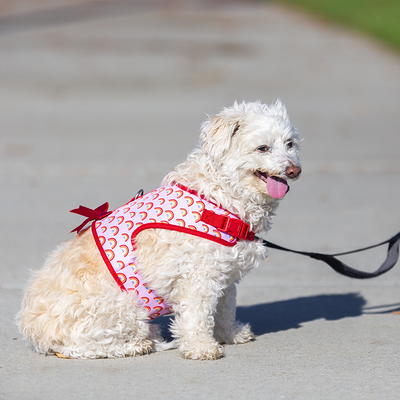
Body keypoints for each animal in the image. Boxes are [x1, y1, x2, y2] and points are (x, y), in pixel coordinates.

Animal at [17, 100, 302, 360]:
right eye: (262, 148)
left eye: (290, 144)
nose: (294, 170)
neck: (219, 197)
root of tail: (32, 330)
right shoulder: (198, 278)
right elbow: (198, 317)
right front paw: (201, 348)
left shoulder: (225, 276)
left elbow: (224, 311)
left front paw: (230, 334)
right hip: (124, 307)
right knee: (77, 347)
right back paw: (137, 345)